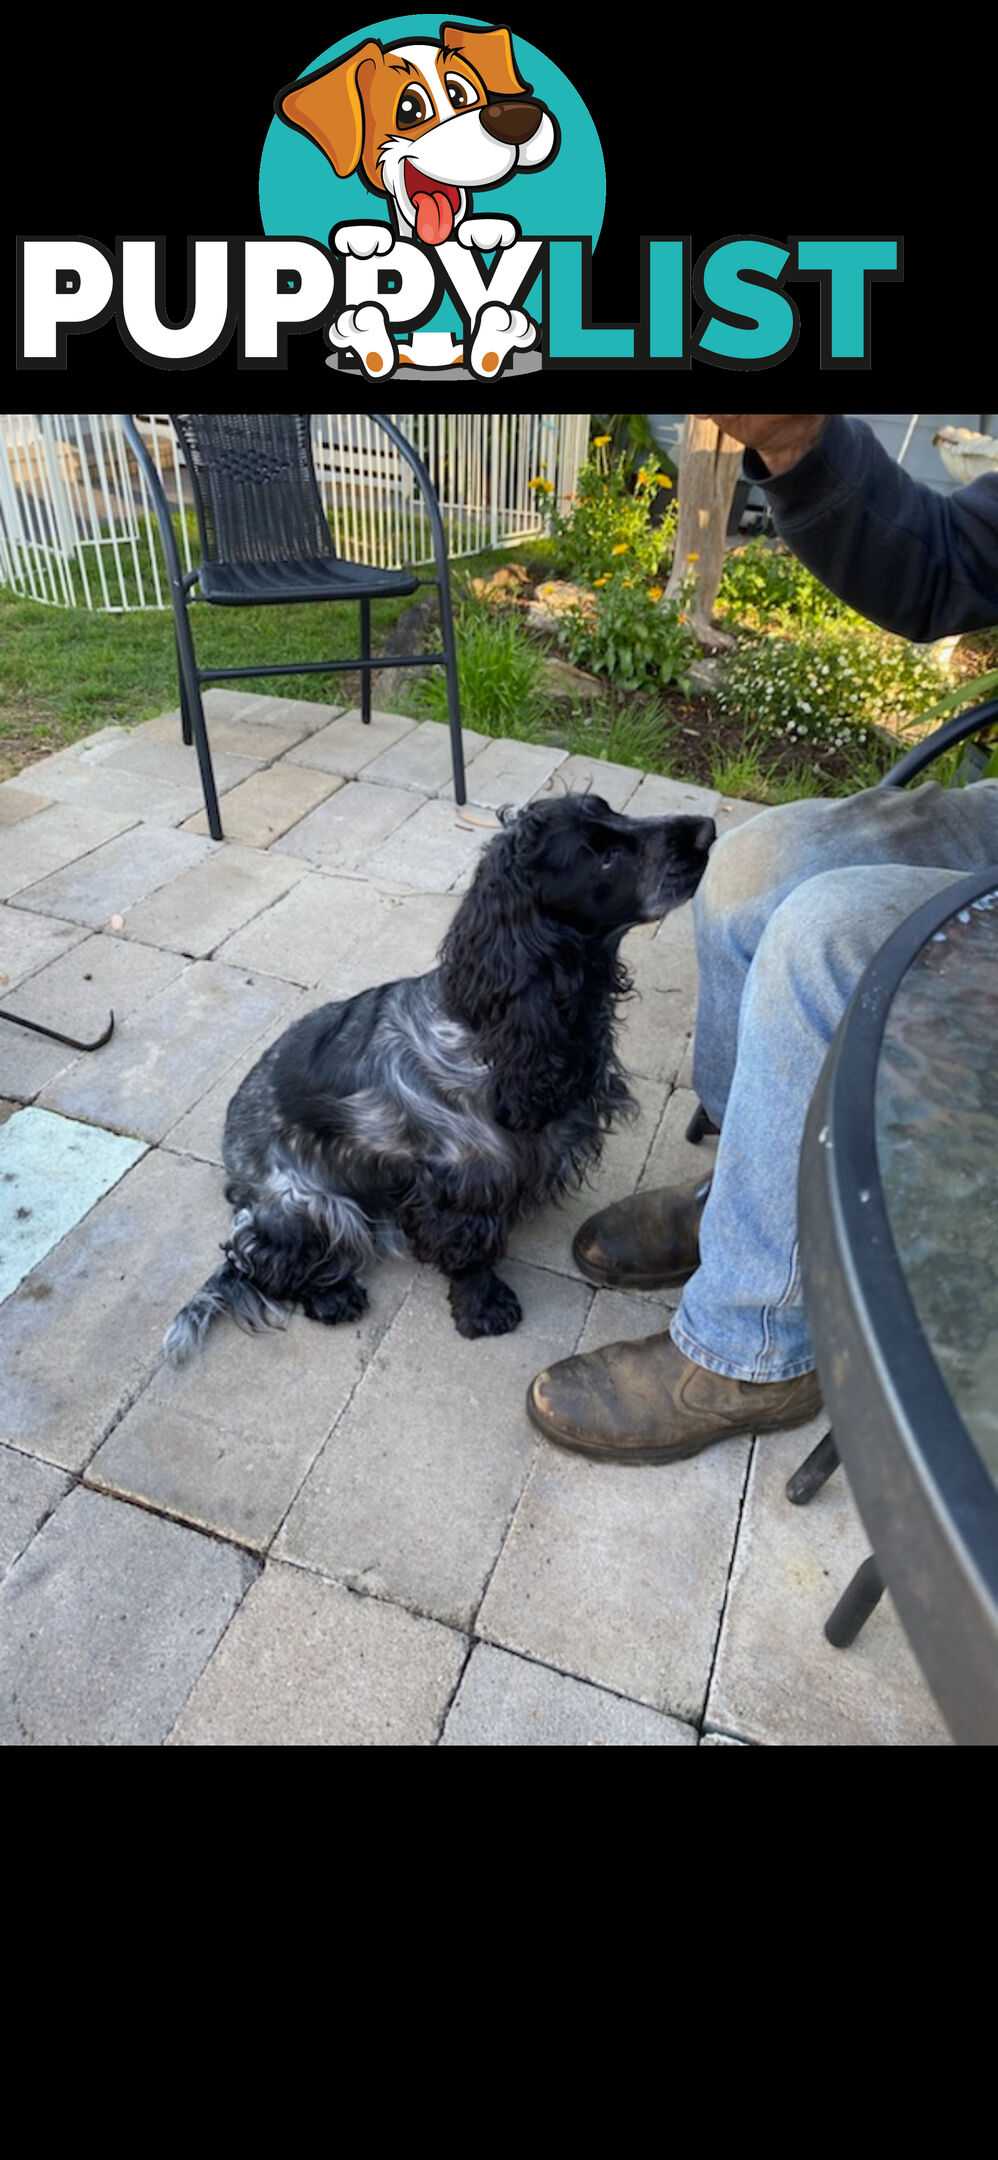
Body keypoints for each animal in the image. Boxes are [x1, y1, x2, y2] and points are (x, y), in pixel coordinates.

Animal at [164, 803, 712, 1356]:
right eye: (601, 855)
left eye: (613, 810)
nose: (706, 831)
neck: (492, 1027)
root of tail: (236, 1174)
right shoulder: (457, 1178)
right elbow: (468, 1247)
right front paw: (484, 1306)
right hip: (311, 1203)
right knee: (262, 1260)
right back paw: (330, 1294)